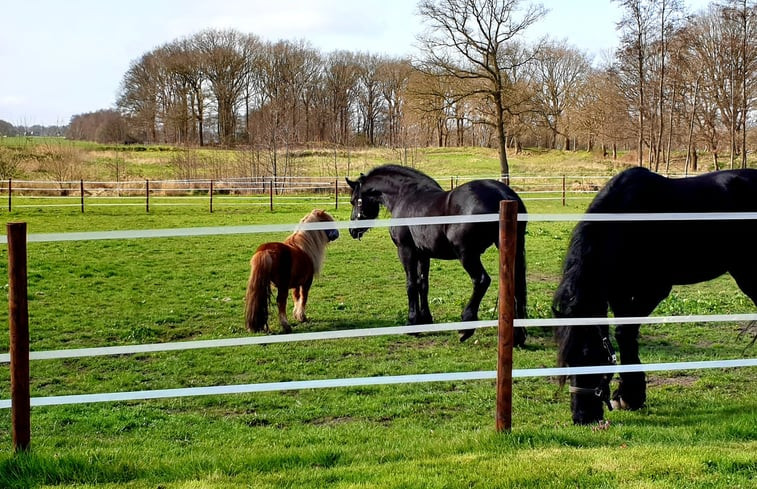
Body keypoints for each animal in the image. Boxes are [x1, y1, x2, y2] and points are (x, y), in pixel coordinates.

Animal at [344, 164, 524, 344]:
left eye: (353, 201)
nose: (352, 231)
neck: (404, 196)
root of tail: (503, 194)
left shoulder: (406, 250)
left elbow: (411, 284)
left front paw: (412, 323)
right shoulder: (423, 254)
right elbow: (423, 284)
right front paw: (425, 319)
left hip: (467, 255)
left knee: (481, 281)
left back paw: (466, 327)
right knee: (514, 285)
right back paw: (517, 336)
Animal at [552, 167, 756, 424]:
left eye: (592, 356)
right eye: (568, 361)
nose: (582, 416)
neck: (626, 222)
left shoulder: (654, 291)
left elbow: (625, 332)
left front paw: (630, 395)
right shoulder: (618, 291)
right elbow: (624, 334)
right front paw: (628, 395)